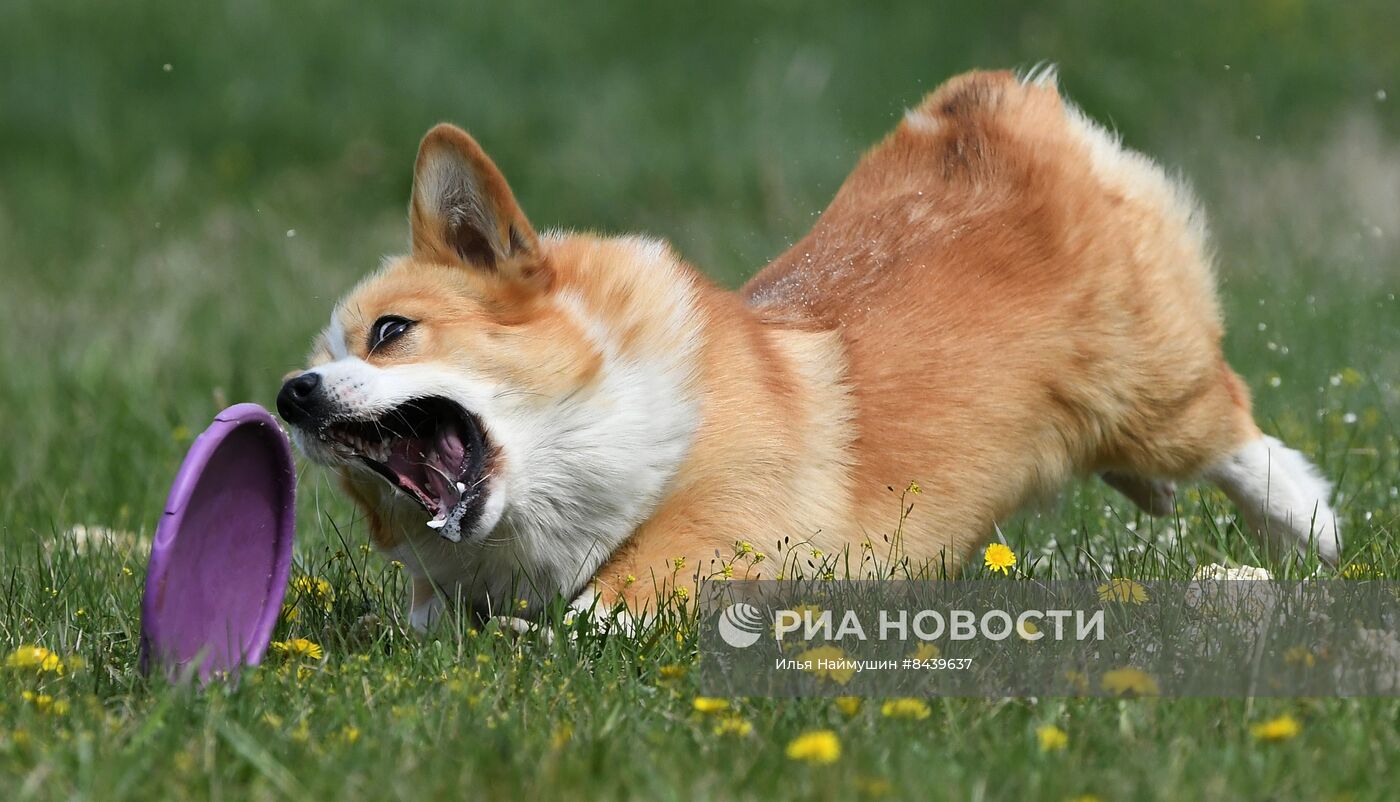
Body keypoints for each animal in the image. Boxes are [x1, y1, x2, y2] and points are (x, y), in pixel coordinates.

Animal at [273, 68, 1332, 629]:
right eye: (310, 362)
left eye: (391, 332)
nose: (291, 395)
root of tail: (992, 105)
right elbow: (430, 617)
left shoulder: (732, 519)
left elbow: (624, 592)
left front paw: (562, 635)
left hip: (1151, 388)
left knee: (1232, 434)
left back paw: (1310, 533)